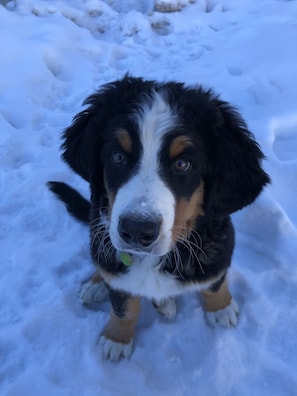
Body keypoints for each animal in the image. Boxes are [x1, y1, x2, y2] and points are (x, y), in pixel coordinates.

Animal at [48, 76, 268, 360]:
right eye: (118, 157)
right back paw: (97, 284)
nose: (137, 230)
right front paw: (117, 338)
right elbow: (123, 306)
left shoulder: (220, 248)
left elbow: (215, 282)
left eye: (182, 164)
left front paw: (221, 308)